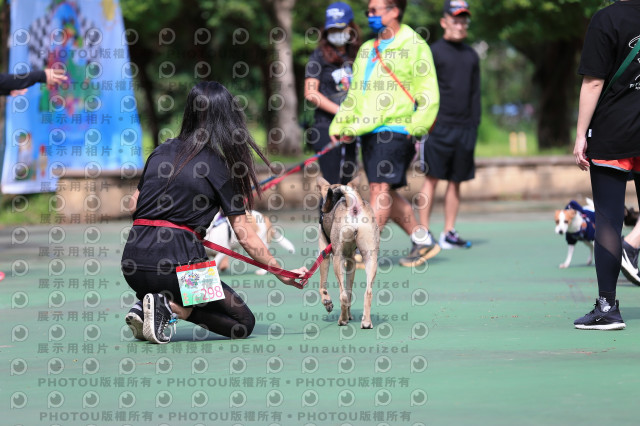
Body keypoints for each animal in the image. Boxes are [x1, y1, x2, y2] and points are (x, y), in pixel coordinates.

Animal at [316, 176, 378, 330]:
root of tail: (353, 203)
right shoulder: (351, 261)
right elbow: (350, 292)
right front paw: (350, 315)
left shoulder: (325, 254)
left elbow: (322, 285)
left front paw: (327, 302)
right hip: (371, 258)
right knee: (367, 292)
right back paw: (365, 322)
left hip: (337, 260)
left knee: (343, 295)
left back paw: (342, 320)